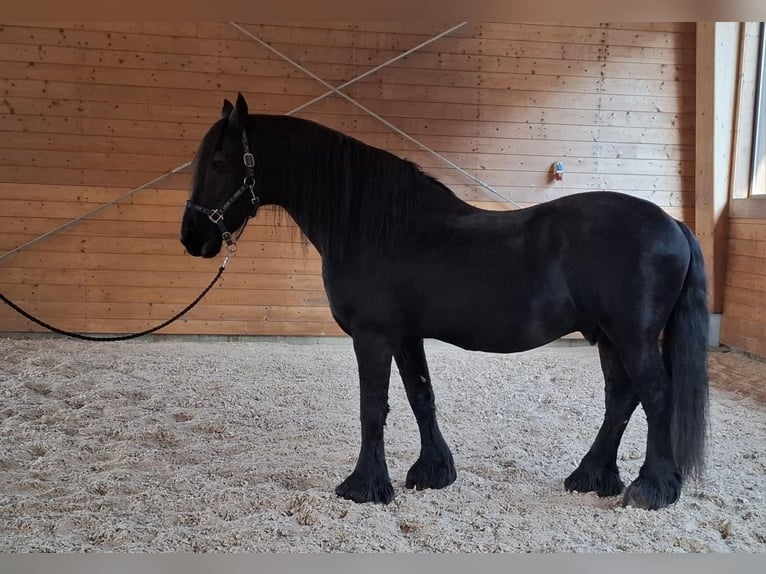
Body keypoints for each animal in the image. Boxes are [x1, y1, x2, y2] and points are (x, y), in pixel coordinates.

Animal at [181, 93, 709, 510]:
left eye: (219, 163)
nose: (192, 237)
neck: (375, 227)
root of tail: (673, 224)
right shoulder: (404, 335)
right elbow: (421, 396)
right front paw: (432, 472)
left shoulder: (373, 336)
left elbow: (373, 407)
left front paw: (364, 486)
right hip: (608, 337)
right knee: (621, 399)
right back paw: (591, 477)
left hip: (632, 336)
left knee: (656, 397)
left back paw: (652, 489)